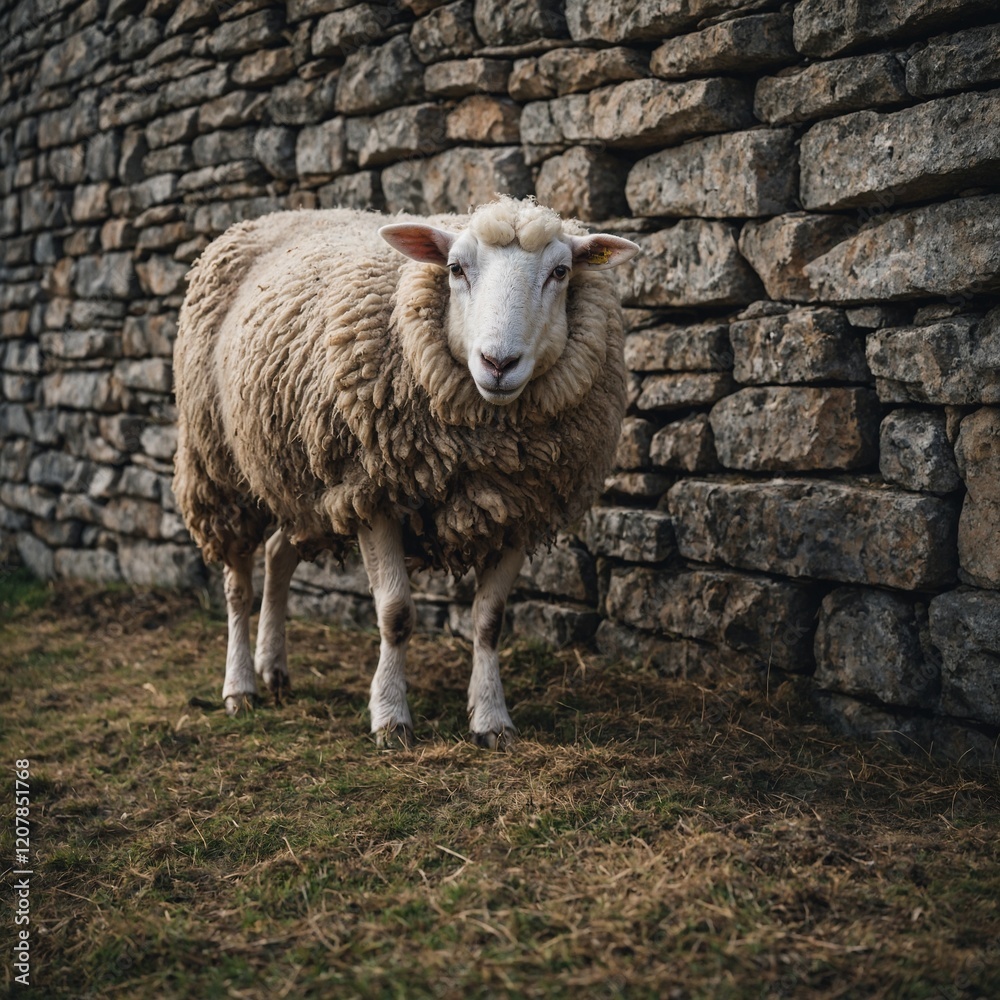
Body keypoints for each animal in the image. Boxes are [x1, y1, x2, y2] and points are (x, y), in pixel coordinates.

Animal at [173, 196, 638, 749]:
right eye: (455, 268)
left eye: (561, 272)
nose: (498, 363)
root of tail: (267, 217)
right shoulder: (372, 493)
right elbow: (395, 615)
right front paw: (391, 718)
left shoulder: (520, 507)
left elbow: (489, 621)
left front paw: (491, 719)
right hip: (218, 464)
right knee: (239, 582)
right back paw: (240, 686)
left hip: (301, 482)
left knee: (278, 555)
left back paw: (274, 669)